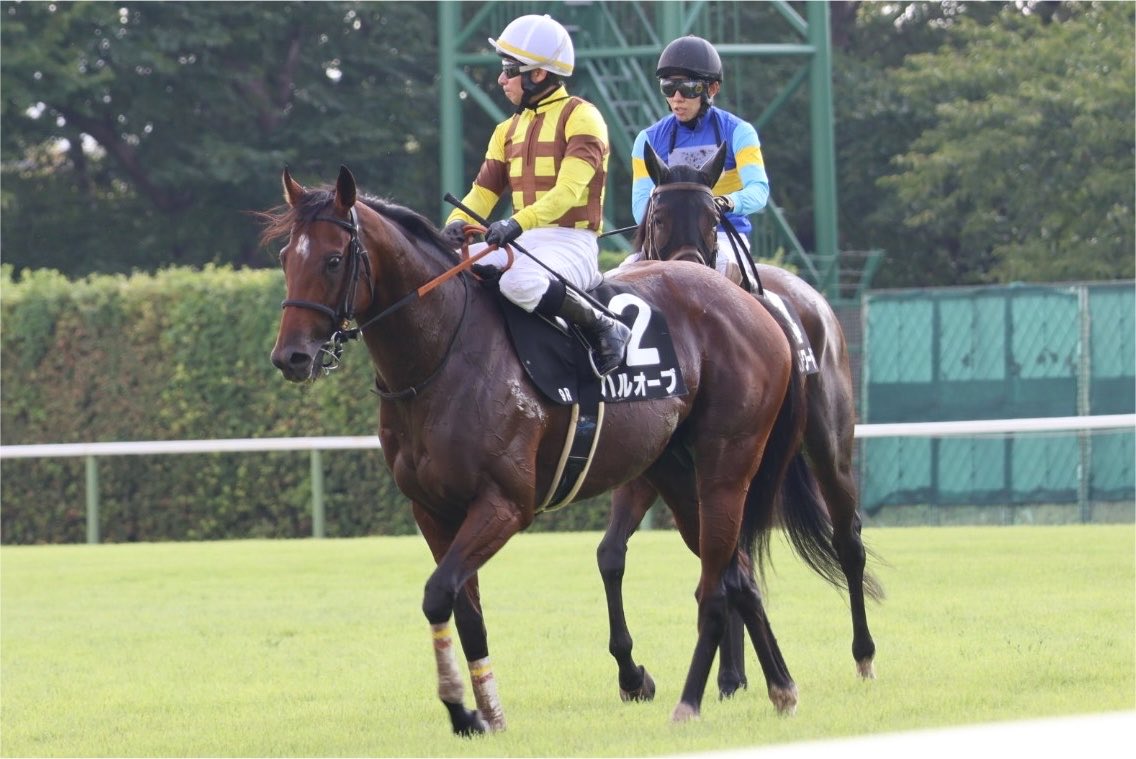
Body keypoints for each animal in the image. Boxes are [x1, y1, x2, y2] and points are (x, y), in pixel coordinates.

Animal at [260, 165, 844, 734]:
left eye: (334, 259)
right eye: (287, 258)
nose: (291, 357)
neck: (444, 354)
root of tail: (756, 306)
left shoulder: (504, 505)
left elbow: (438, 592)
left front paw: (461, 708)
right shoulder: (431, 510)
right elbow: (464, 609)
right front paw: (488, 712)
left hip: (727, 466)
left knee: (717, 585)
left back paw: (692, 701)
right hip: (677, 476)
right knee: (738, 573)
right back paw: (781, 687)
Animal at [598, 142, 883, 705]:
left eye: (714, 218)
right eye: (658, 216)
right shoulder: (649, 469)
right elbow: (612, 555)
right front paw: (632, 674)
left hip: (827, 445)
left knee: (847, 540)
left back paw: (861, 655)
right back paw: (735, 673)